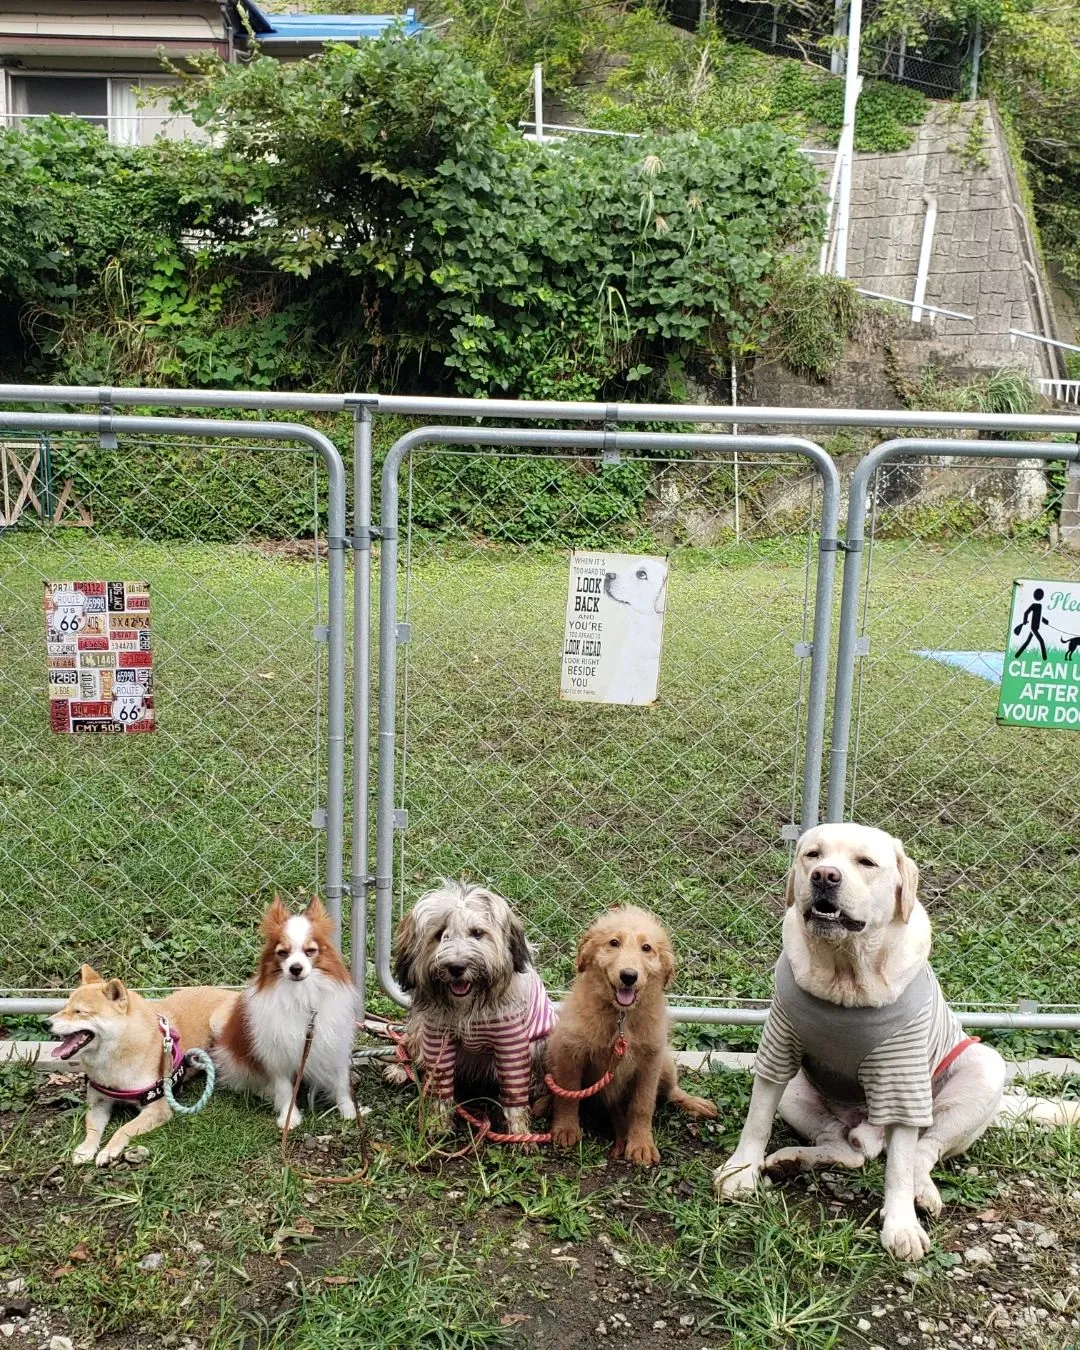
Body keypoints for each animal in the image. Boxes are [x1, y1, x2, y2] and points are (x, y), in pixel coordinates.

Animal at [548, 901, 718, 1166]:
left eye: (646, 948)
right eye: (613, 943)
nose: (628, 976)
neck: (621, 1017)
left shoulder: (650, 1062)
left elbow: (643, 1106)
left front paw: (641, 1145)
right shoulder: (570, 1051)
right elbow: (568, 1094)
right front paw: (566, 1128)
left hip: (665, 1063)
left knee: (671, 1091)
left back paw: (694, 1102)